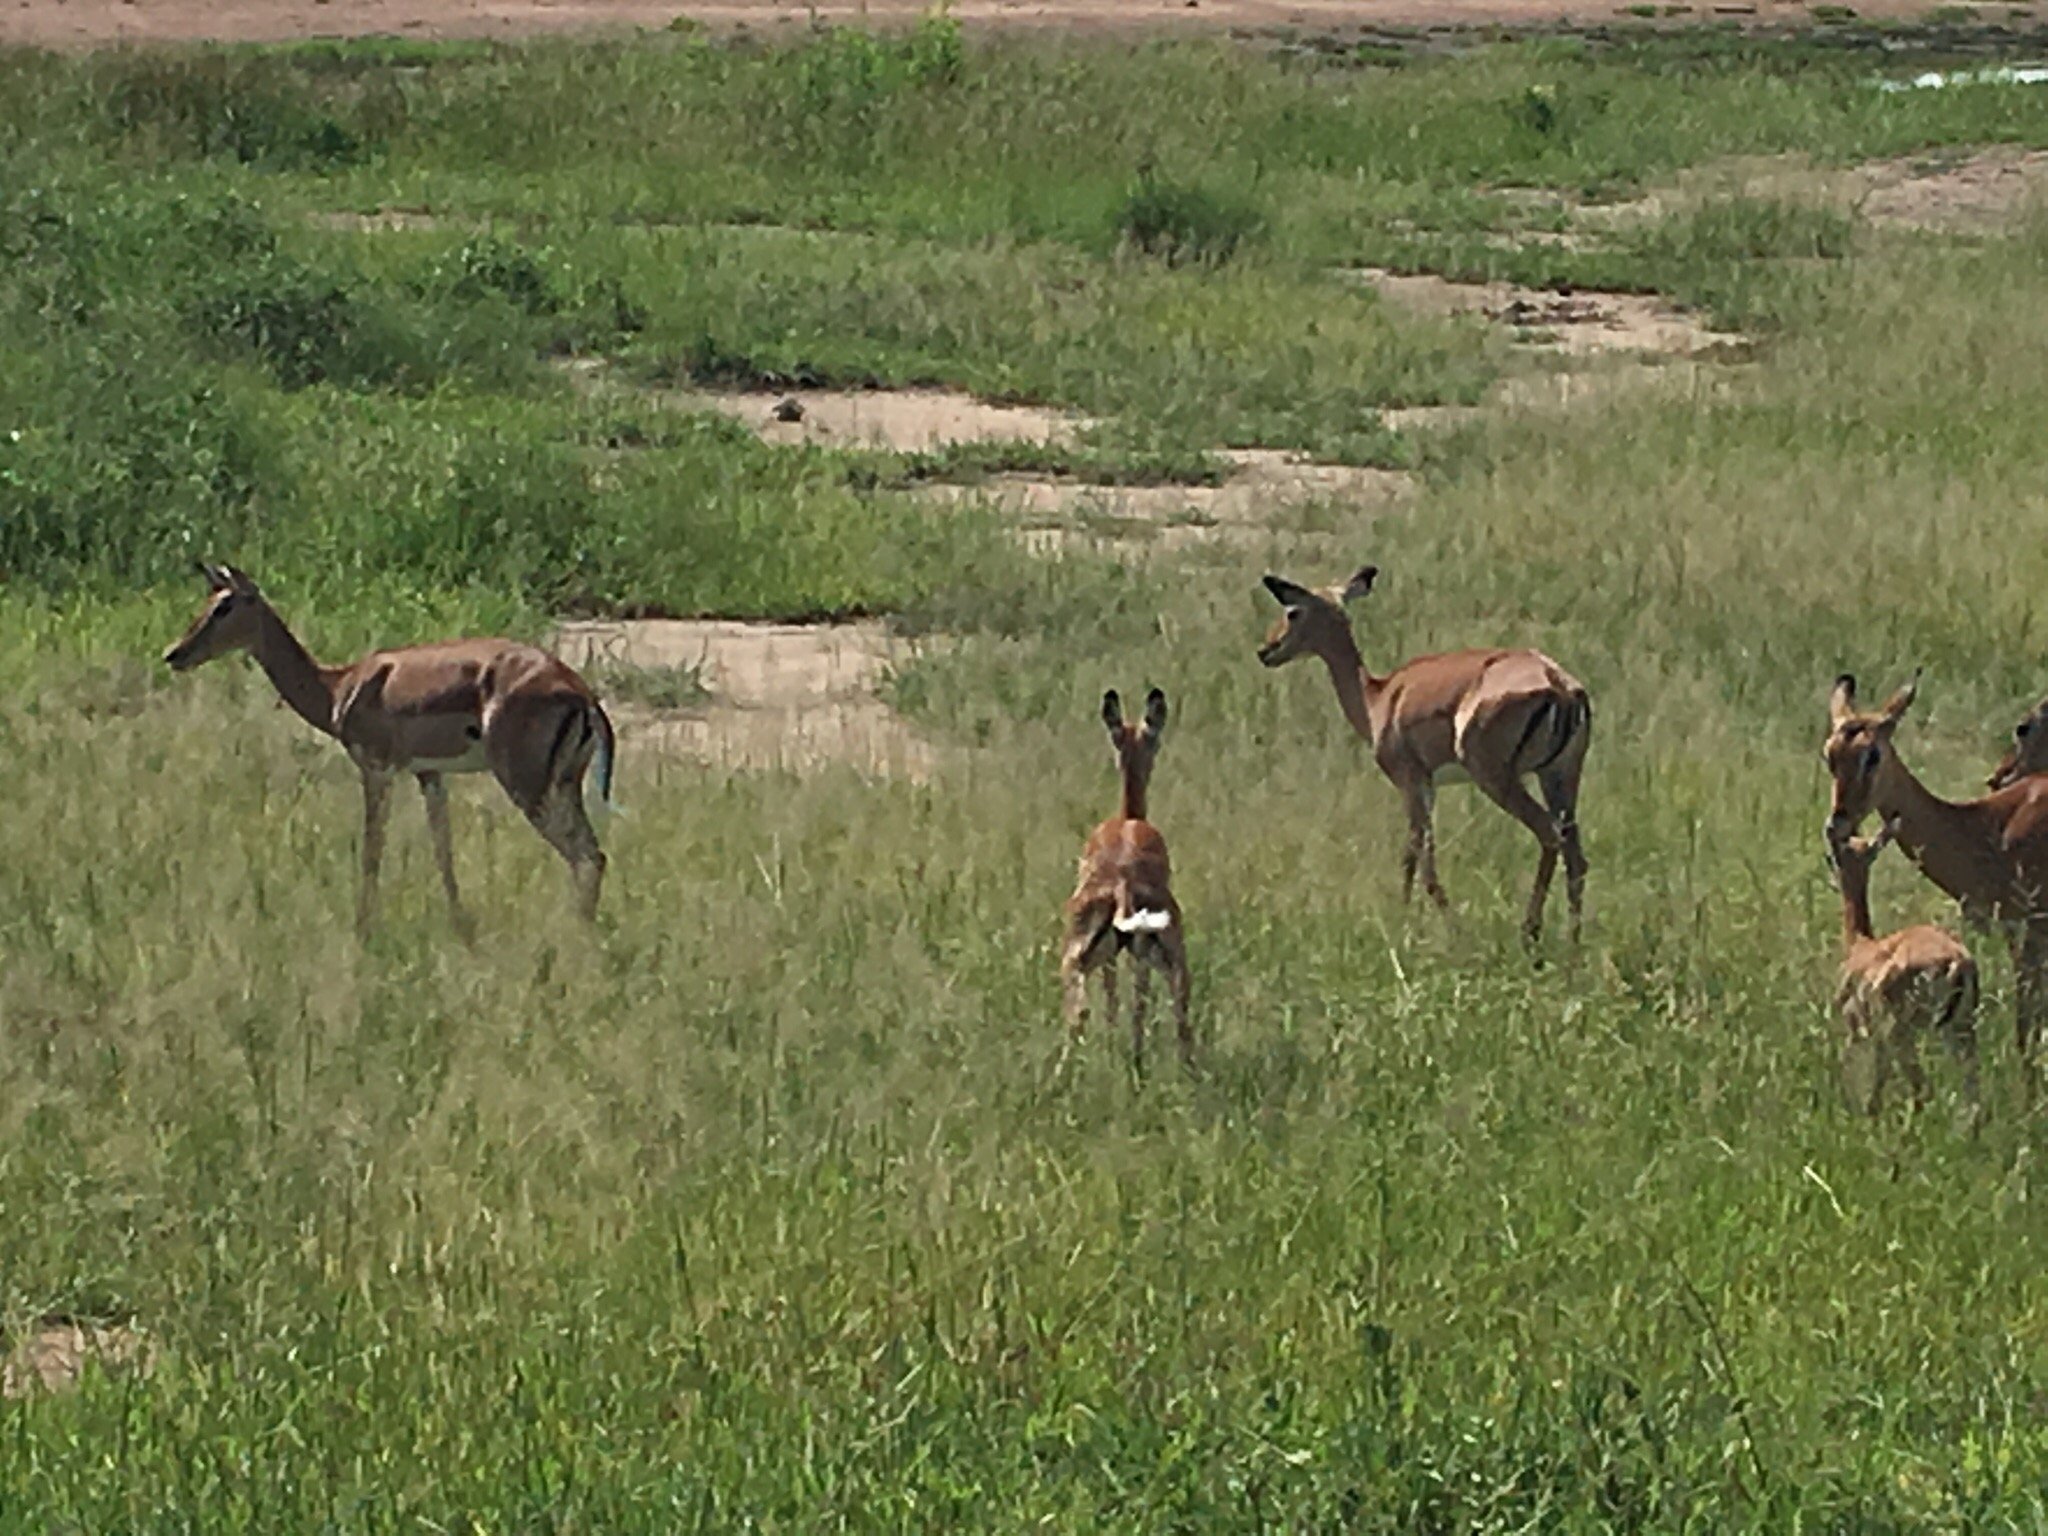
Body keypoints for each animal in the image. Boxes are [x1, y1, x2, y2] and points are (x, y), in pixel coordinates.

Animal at [163, 563, 617, 935]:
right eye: (208, 601)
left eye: (225, 606)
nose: (174, 653)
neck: (339, 688)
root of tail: (582, 695)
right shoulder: (428, 774)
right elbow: (443, 849)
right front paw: (460, 926)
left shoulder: (376, 768)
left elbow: (371, 849)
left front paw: (363, 929)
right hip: (563, 785)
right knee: (593, 855)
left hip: (527, 785)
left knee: (586, 856)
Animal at [1257, 565, 1591, 943]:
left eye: (1292, 611)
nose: (1266, 650)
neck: (1378, 697)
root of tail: (1558, 684)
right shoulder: (1428, 786)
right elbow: (1413, 857)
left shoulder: (1411, 780)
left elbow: (1419, 860)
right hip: (1559, 776)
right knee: (1575, 855)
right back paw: (1573, 942)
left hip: (1497, 778)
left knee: (1549, 835)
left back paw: (1529, 933)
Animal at [1823, 673, 2048, 1085]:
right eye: (1829, 753)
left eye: (1872, 754)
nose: (1838, 824)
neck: (1989, 827)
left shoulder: (2027, 932)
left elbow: (2027, 1027)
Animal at [1825, 819, 1981, 1124]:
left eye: (1836, 856)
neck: (1860, 946)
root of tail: (1959, 961)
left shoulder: (1860, 1029)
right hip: (1959, 1030)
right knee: (1974, 1099)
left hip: (1902, 1033)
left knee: (1923, 1089)